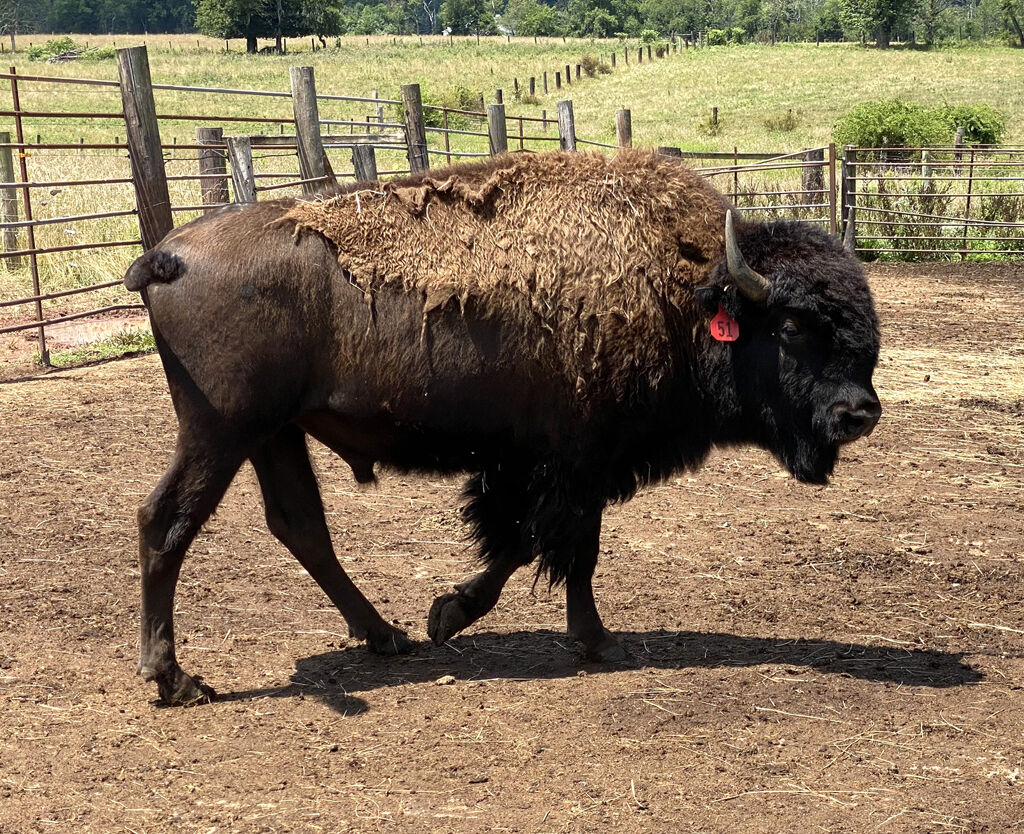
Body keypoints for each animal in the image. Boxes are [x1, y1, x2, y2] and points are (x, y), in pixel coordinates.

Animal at [124, 150, 881, 706]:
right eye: (792, 325)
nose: (859, 413)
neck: (687, 289)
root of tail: (170, 254)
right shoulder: (573, 462)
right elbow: (555, 545)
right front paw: (566, 635)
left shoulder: (559, 466)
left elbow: (546, 545)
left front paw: (454, 617)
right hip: (221, 432)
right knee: (167, 521)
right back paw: (177, 680)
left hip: (274, 434)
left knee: (299, 524)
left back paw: (385, 636)